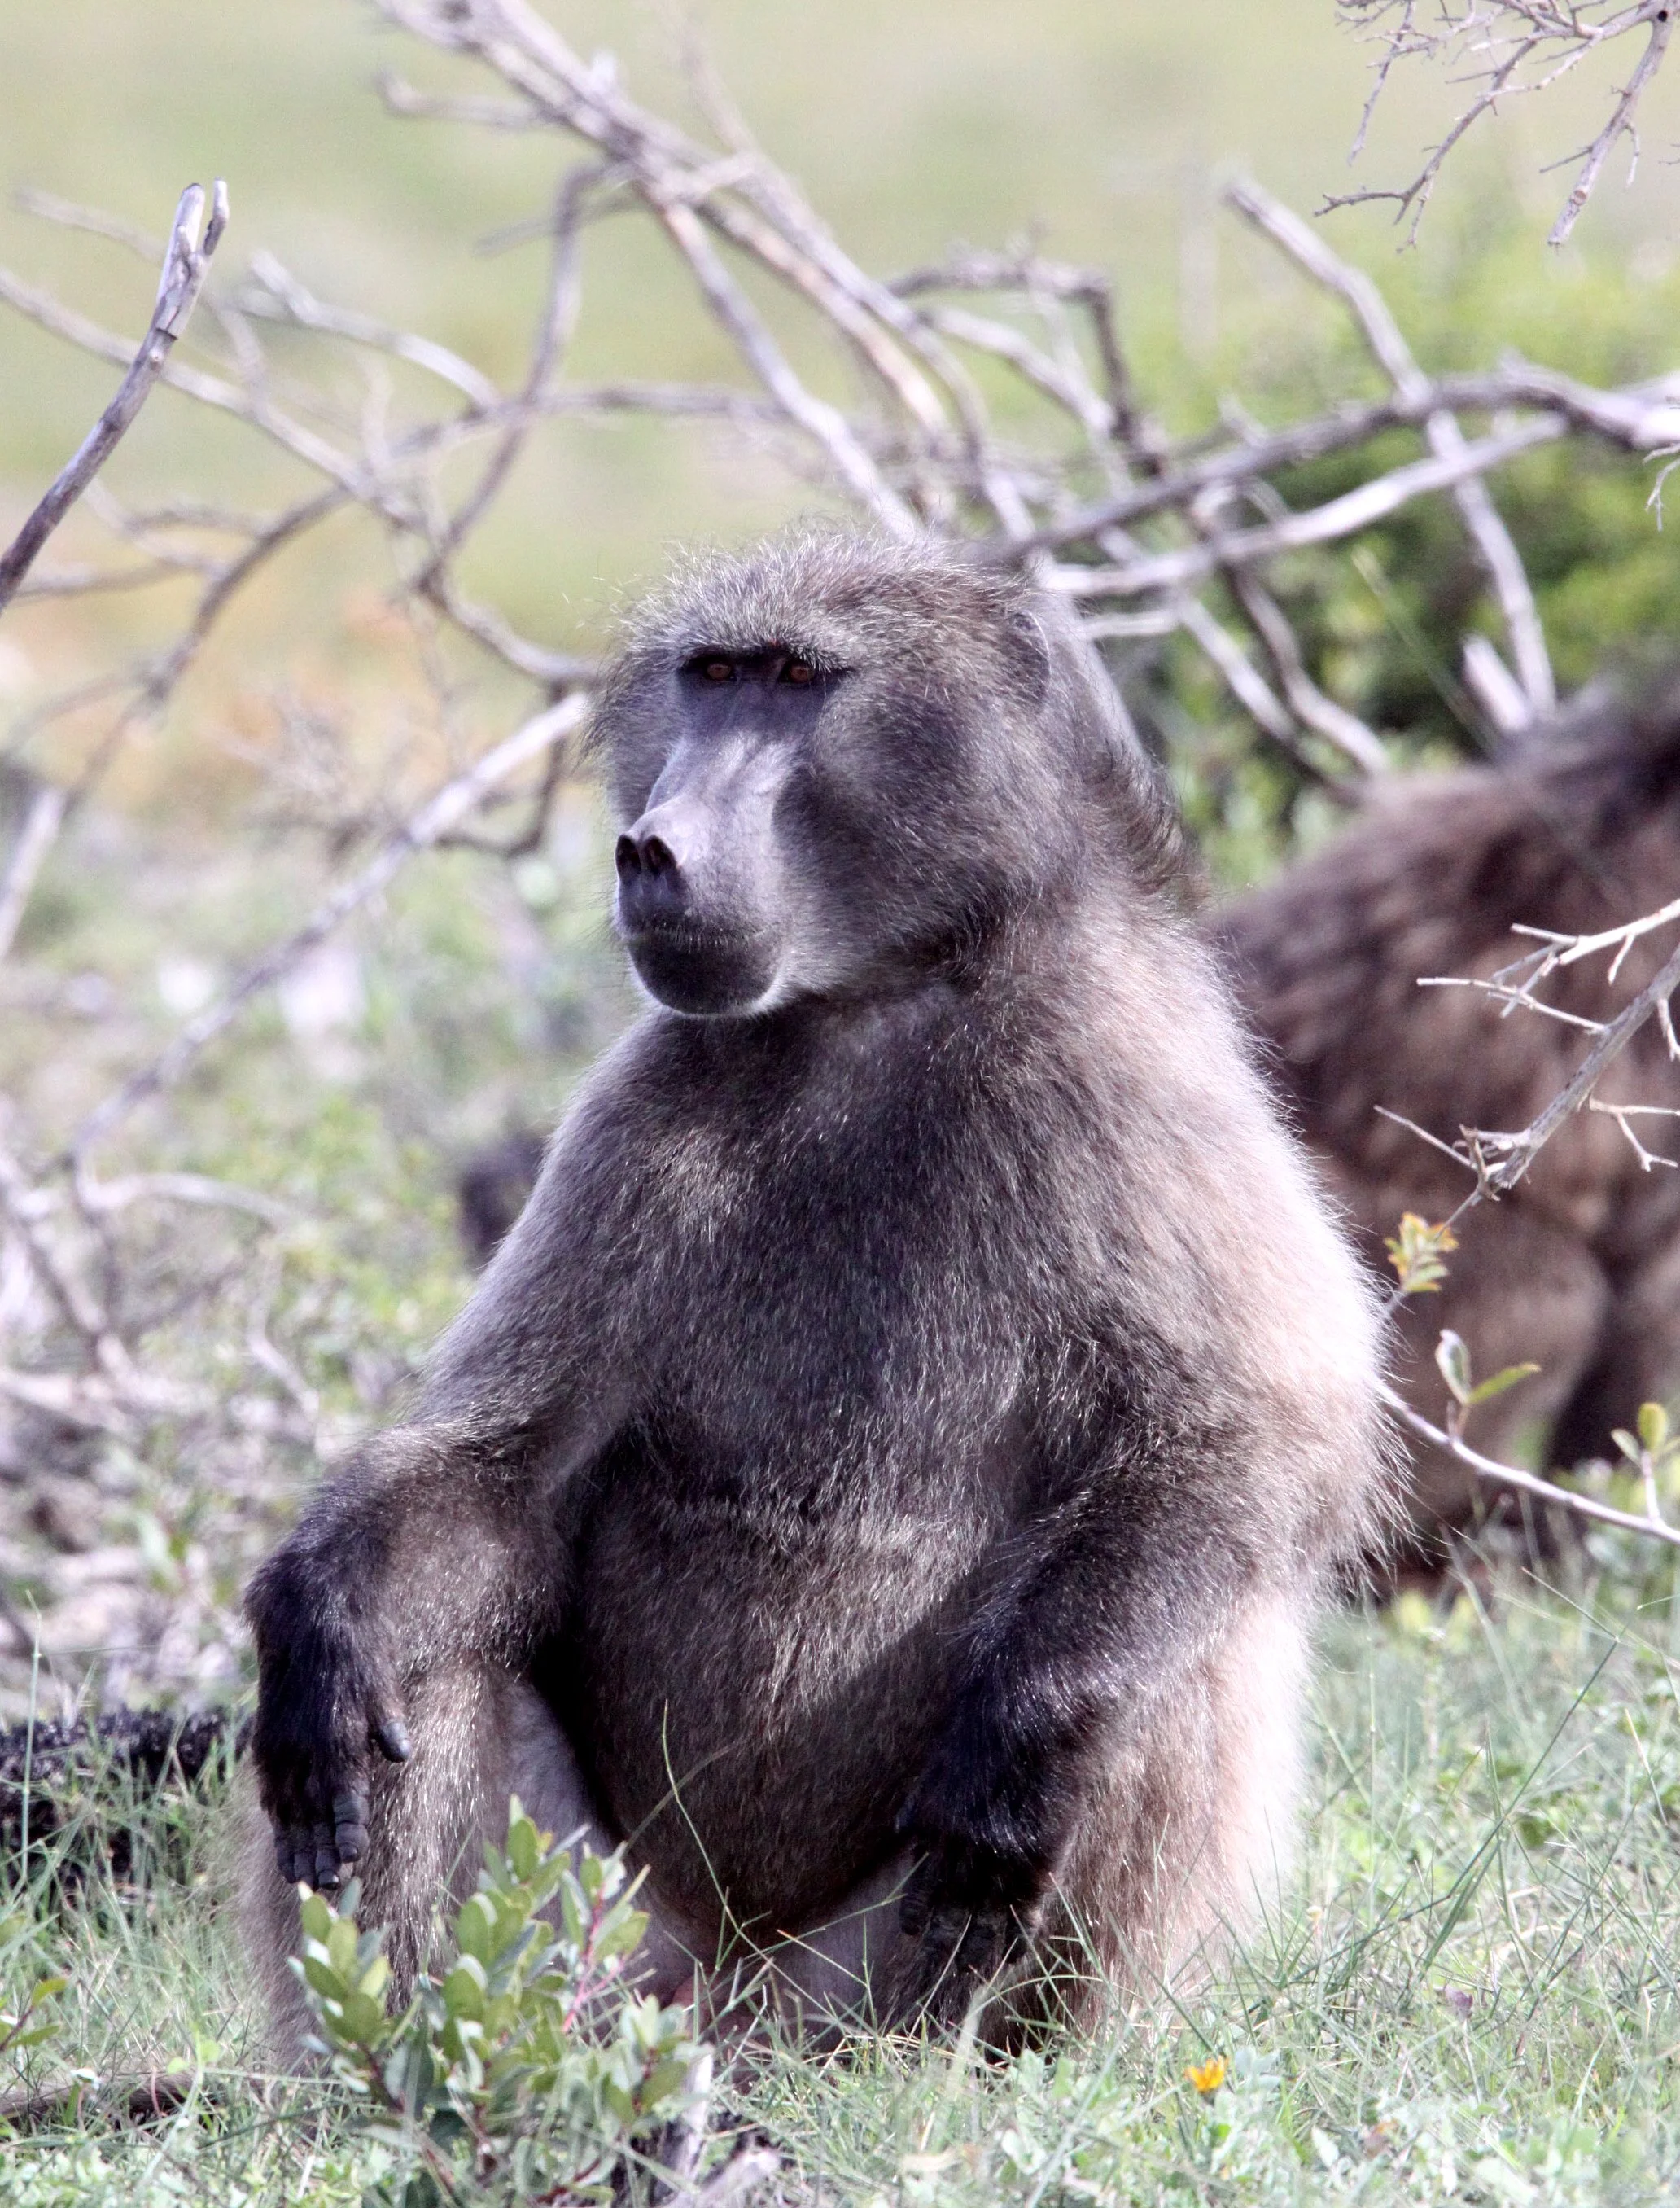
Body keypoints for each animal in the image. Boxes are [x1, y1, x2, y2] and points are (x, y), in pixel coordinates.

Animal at [243, 532, 1390, 2050]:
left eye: (797, 679)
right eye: (713, 674)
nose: (650, 846)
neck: (872, 1004)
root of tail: (737, 1997)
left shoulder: (1130, 1075)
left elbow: (1266, 1430)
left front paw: (1025, 1739)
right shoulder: (636, 1113)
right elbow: (507, 1470)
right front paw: (313, 1610)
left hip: (866, 1967)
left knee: (1174, 1633)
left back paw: (974, 2057)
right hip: (613, 1934)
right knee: (419, 1672)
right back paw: (412, 2060)